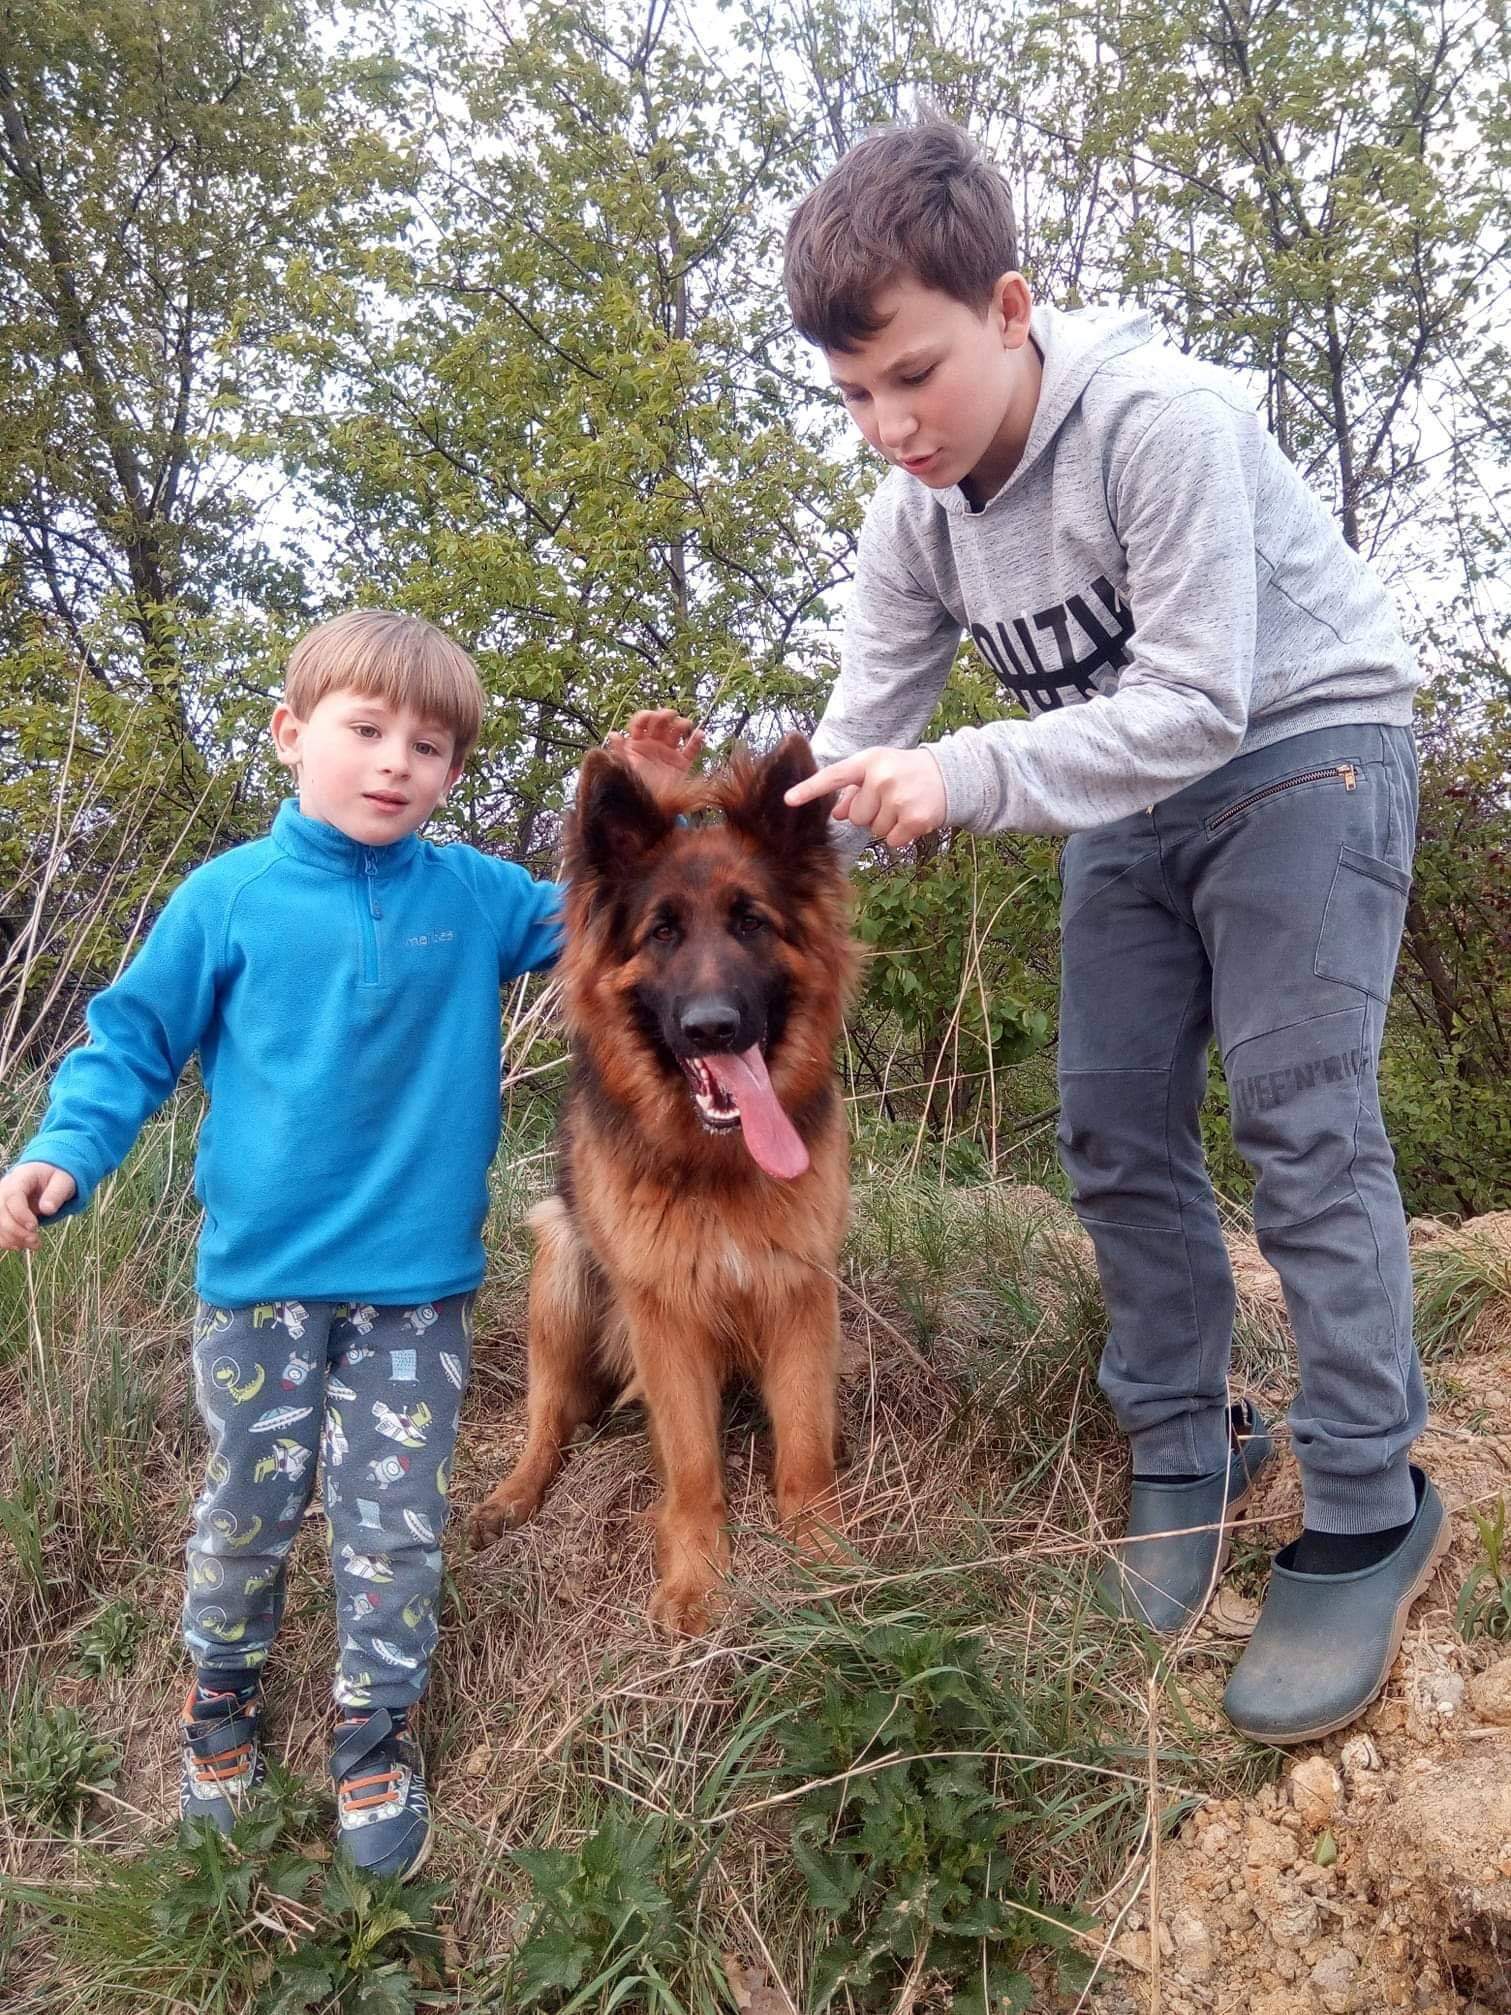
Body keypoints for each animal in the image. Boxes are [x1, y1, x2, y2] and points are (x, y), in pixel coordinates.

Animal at [470, 734, 856, 1631]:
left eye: (751, 921)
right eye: (662, 932)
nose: (713, 1027)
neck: (718, 1166)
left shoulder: (800, 1296)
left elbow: (804, 1449)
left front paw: (822, 1554)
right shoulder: (666, 1317)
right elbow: (689, 1467)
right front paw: (694, 1579)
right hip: (561, 1264)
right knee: (549, 1417)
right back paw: (513, 1494)